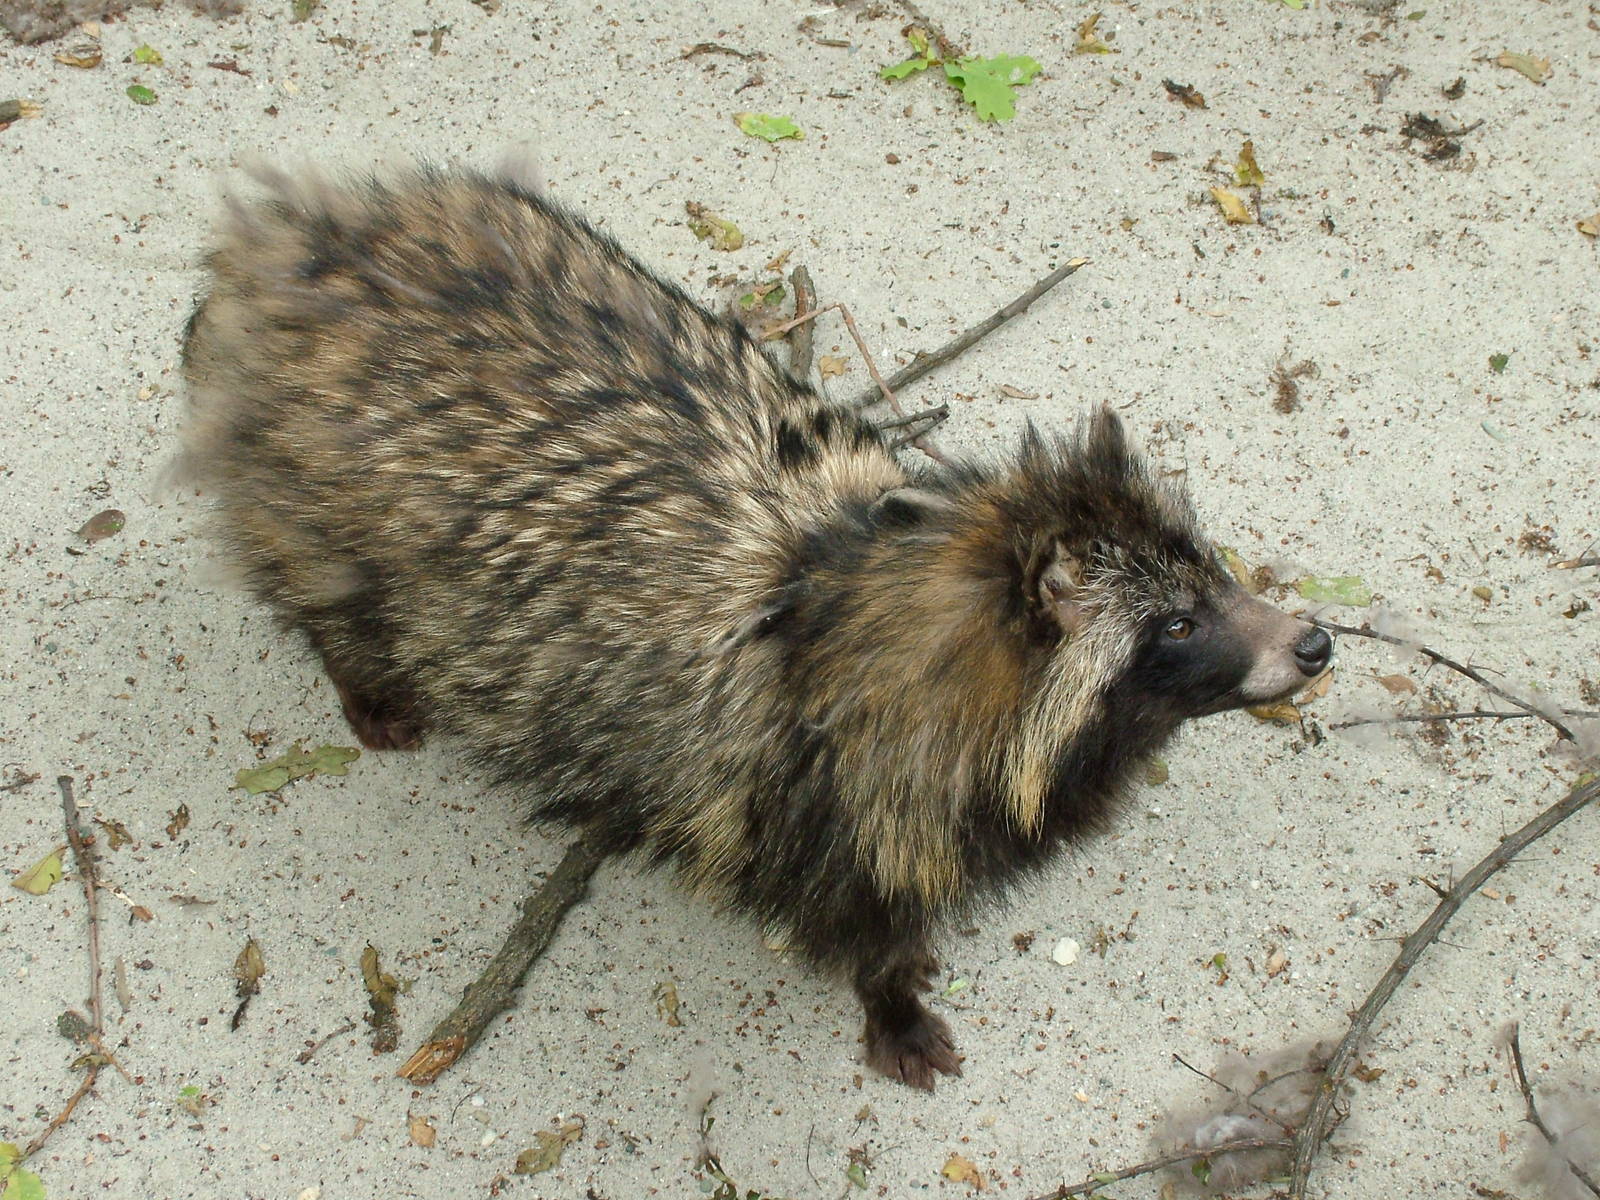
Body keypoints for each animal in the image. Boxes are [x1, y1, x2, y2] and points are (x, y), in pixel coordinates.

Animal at [179, 165, 1332, 1089]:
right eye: (1176, 623)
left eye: (1211, 574)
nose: (1316, 643)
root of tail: (281, 238)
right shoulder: (826, 806)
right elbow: (860, 925)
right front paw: (891, 1001)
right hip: (311, 499)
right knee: (320, 585)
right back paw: (361, 673)